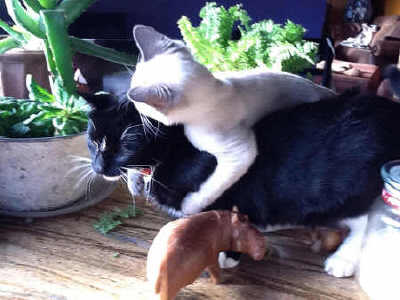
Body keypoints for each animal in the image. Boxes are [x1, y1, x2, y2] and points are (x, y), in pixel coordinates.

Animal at [127, 24, 334, 214]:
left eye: (142, 106)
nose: (132, 102)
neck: (218, 88)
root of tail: (326, 91)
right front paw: (134, 182)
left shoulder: (241, 152)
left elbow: (210, 189)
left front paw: (188, 207)